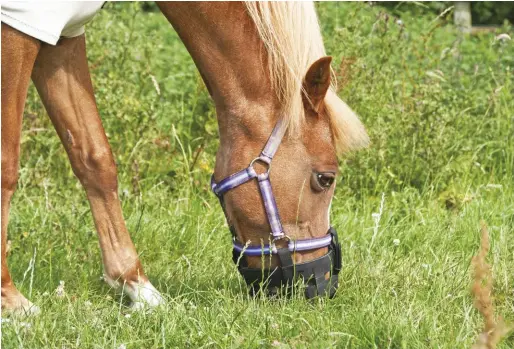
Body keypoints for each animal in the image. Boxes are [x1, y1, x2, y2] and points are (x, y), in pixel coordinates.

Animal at [1, 0, 368, 316]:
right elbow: (7, 165)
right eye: (325, 178)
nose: (323, 283)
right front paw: (12, 301)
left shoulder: (63, 34)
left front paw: (137, 286)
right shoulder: (17, 25)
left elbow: (94, 158)